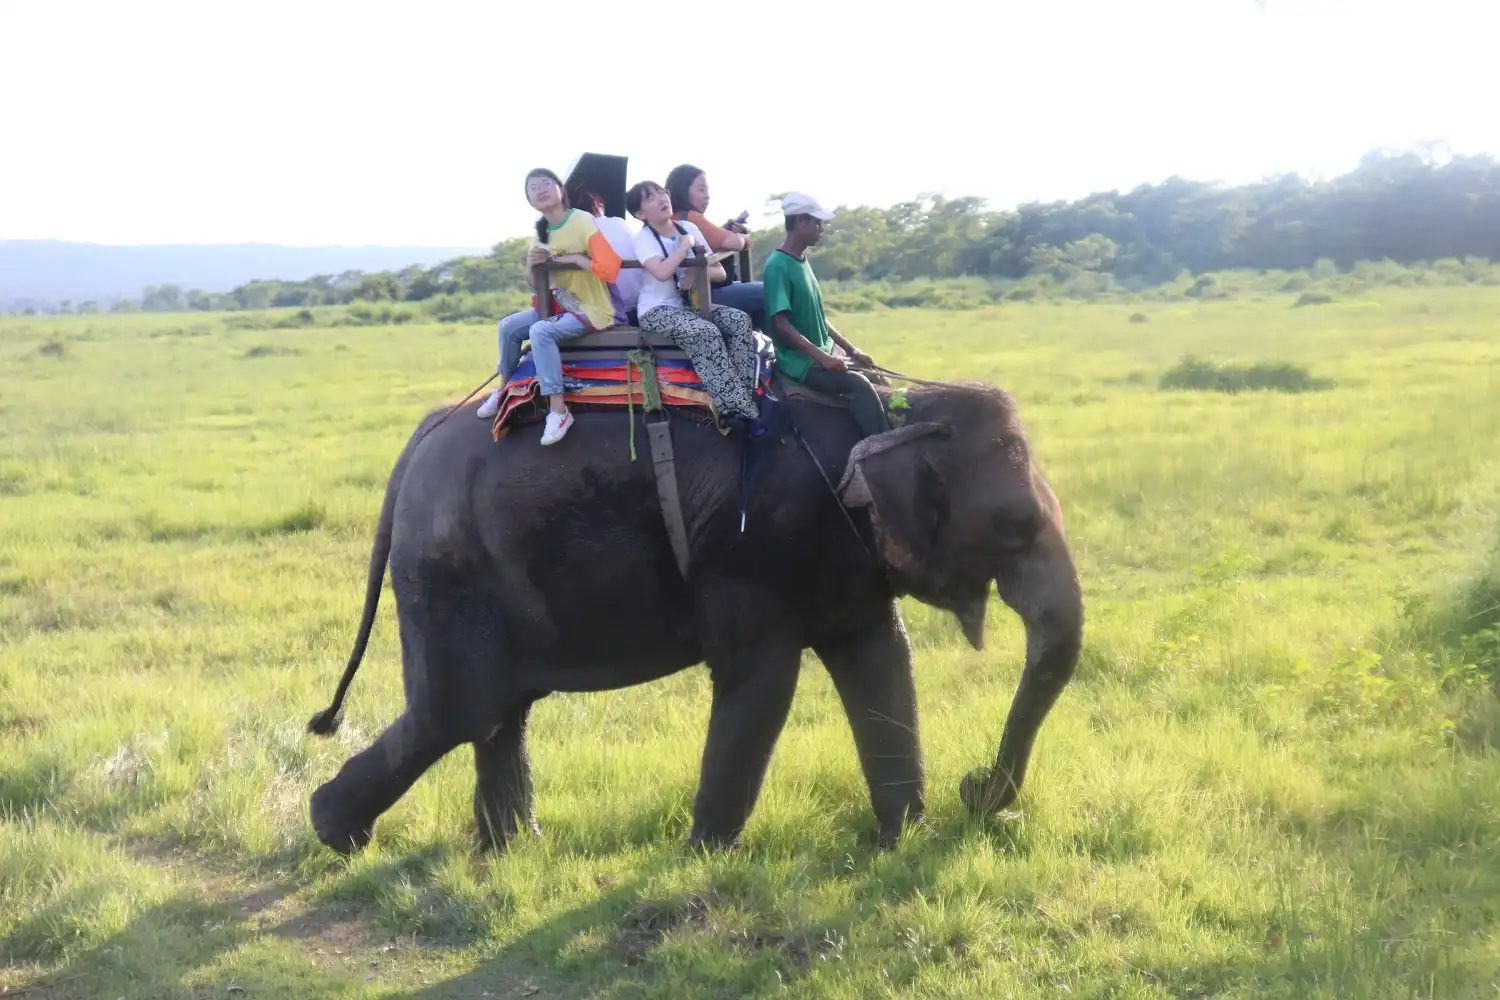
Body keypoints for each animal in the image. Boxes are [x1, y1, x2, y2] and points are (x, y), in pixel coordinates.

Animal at [304, 377, 1083, 854]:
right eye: (1014, 528)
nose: (976, 789)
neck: (895, 406)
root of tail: (419, 442)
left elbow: (881, 661)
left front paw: (904, 840)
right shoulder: (755, 543)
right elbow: (763, 680)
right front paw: (708, 856)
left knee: (500, 713)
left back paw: (513, 850)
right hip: (451, 570)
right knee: (460, 711)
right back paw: (336, 834)